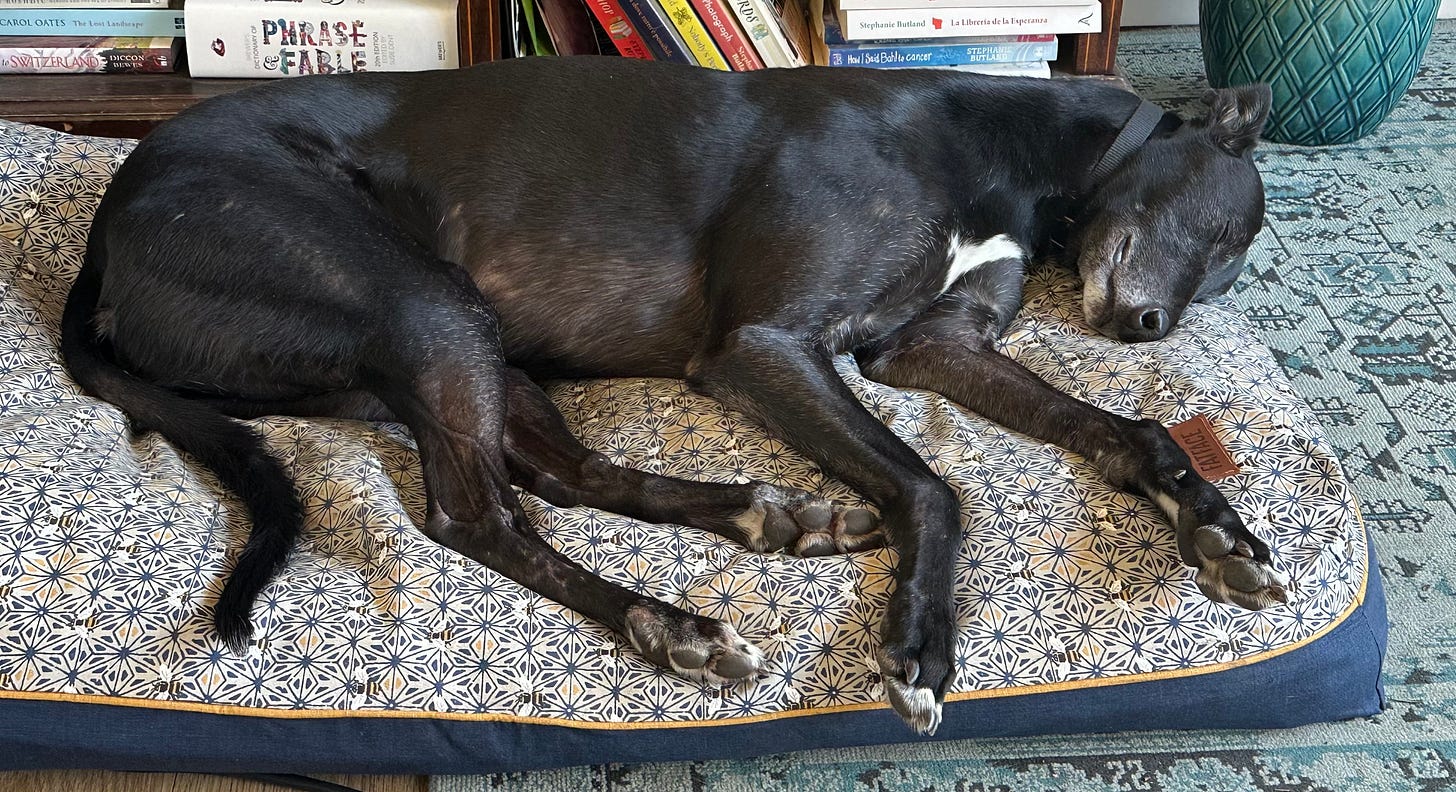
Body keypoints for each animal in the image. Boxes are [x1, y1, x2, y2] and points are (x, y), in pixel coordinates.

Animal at [61, 57, 1282, 735]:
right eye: (1220, 232)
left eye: (1232, 268)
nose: (1145, 329)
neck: (998, 149)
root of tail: (105, 236)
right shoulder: (764, 346)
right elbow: (935, 488)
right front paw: (921, 644)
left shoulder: (930, 349)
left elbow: (1126, 430)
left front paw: (1217, 528)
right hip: (415, 301)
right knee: (473, 512)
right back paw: (674, 626)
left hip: (471, 342)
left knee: (565, 472)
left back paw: (770, 514)